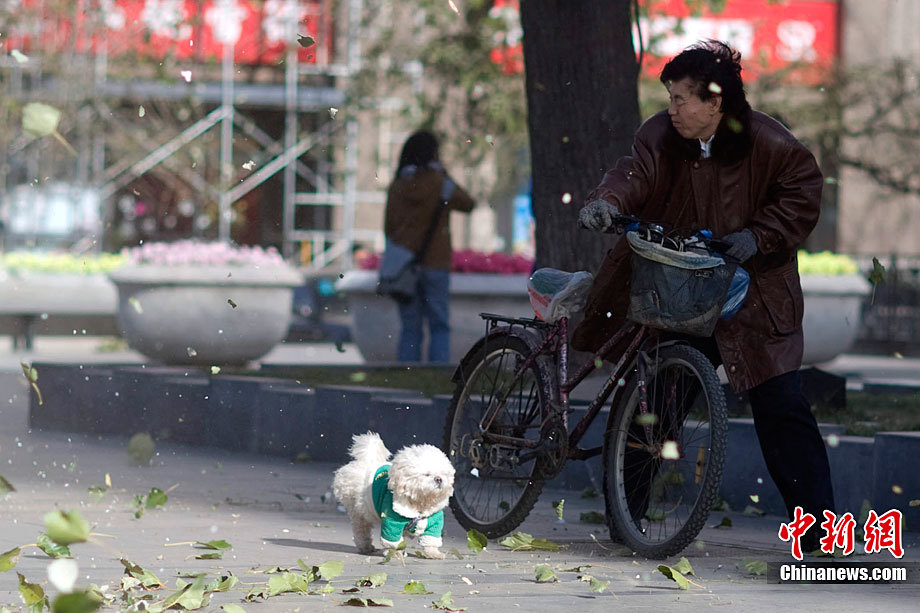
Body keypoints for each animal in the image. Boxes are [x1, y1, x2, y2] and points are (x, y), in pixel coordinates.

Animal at [334, 430, 456, 560]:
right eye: (426, 474)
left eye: (444, 474)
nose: (439, 479)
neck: (419, 502)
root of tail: (368, 461)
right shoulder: (392, 522)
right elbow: (393, 540)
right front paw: (396, 553)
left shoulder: (434, 521)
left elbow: (431, 539)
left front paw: (434, 553)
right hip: (360, 511)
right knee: (361, 530)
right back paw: (365, 546)